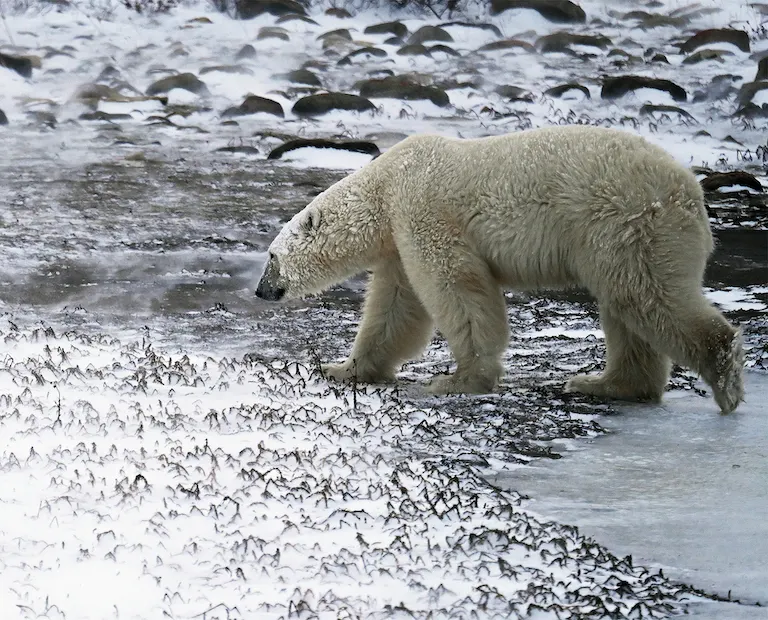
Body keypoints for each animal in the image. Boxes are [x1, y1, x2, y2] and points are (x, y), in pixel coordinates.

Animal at [255, 125, 744, 413]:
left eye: (271, 258)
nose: (261, 291)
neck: (387, 182)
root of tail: (691, 194)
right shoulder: (397, 239)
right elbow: (395, 308)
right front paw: (343, 368)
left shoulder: (424, 210)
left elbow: (457, 287)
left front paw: (458, 379)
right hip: (620, 236)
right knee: (627, 304)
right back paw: (605, 383)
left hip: (627, 220)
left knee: (646, 296)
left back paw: (723, 379)